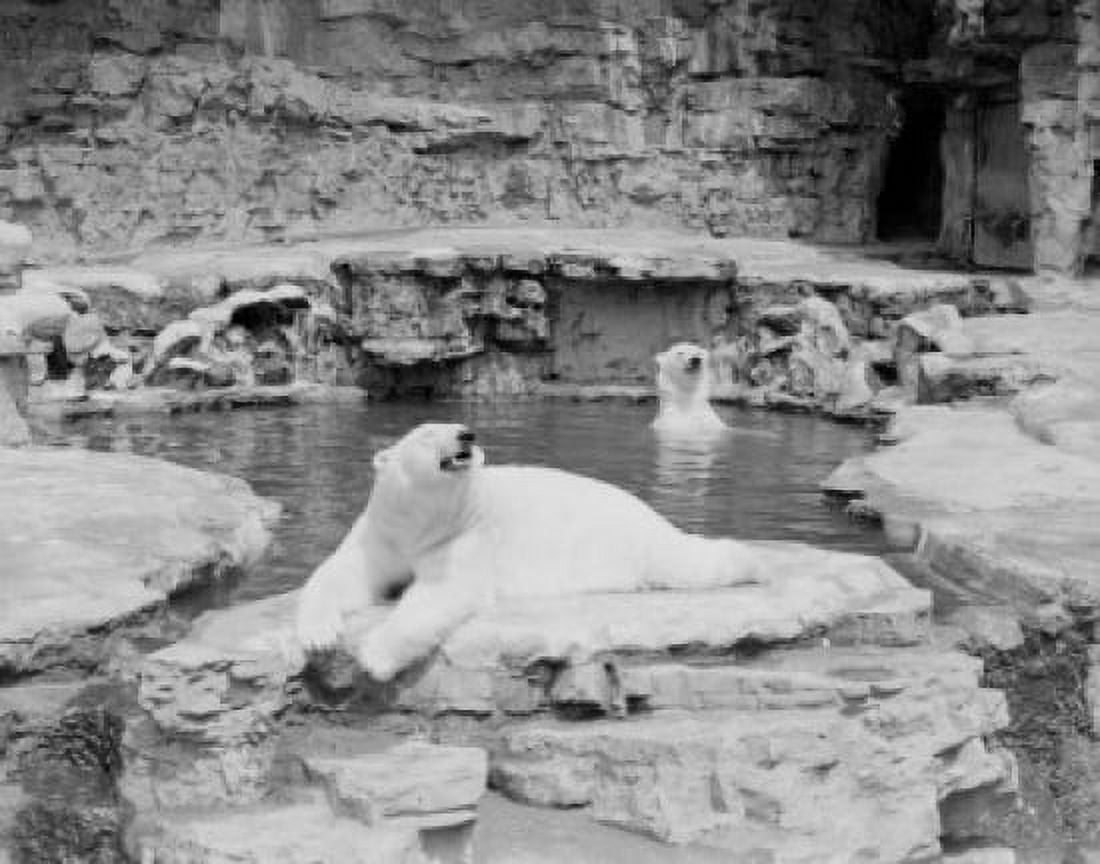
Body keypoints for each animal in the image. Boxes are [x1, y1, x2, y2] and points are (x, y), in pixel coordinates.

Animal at [295, 422, 762, 682]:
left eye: (460, 428)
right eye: (427, 432)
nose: (467, 434)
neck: (424, 521)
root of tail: (648, 511)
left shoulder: (467, 535)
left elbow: (442, 593)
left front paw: (374, 657)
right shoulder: (382, 530)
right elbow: (344, 573)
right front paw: (316, 633)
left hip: (637, 543)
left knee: (692, 563)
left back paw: (751, 561)